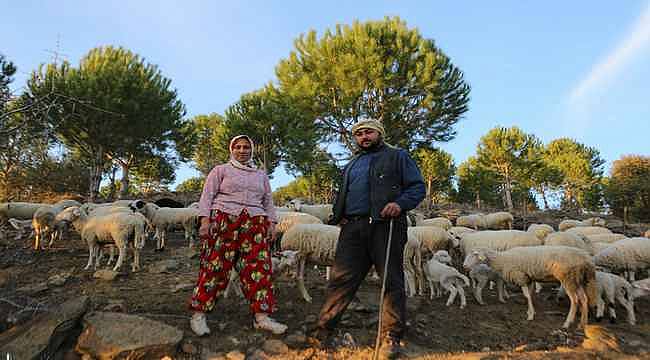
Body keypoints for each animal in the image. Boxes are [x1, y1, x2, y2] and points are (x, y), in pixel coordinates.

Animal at [460, 248, 596, 330]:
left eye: (474, 255)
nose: (464, 266)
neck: (502, 259)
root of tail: (587, 260)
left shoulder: (521, 276)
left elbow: (527, 295)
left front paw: (530, 315)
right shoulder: (529, 278)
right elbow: (530, 294)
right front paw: (531, 312)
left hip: (567, 277)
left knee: (575, 300)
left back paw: (567, 323)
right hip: (577, 280)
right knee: (584, 299)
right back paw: (582, 324)